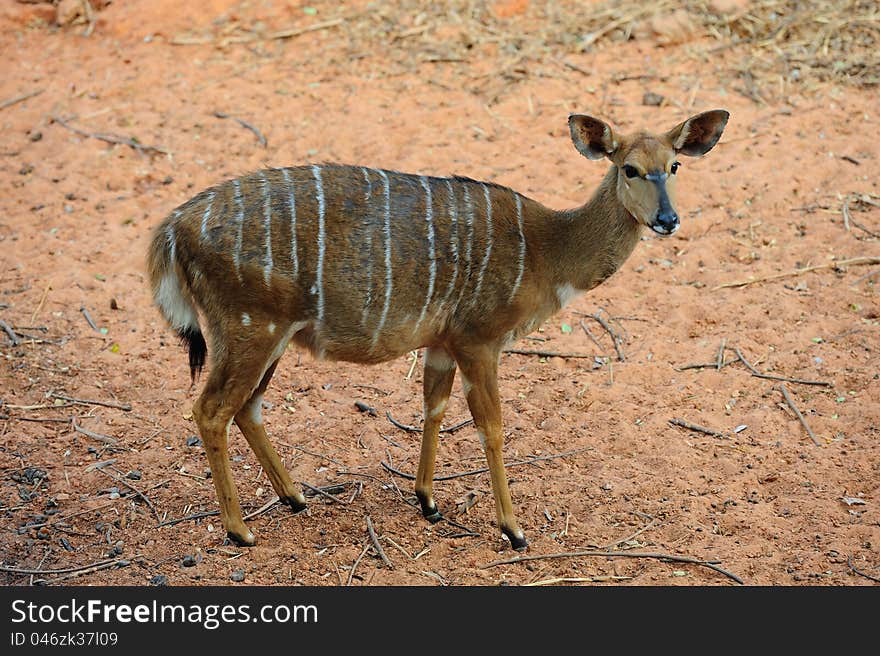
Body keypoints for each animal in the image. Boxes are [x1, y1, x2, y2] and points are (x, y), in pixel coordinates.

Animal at [150, 110, 728, 552]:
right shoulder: (480, 339)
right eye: (629, 168)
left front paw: (427, 502)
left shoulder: (442, 343)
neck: (547, 251)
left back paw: (295, 498)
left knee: (246, 406)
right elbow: (491, 426)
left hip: (271, 336)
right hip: (249, 328)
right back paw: (239, 530)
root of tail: (173, 229)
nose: (668, 220)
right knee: (211, 409)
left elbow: (434, 407)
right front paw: (513, 530)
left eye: (674, 165)